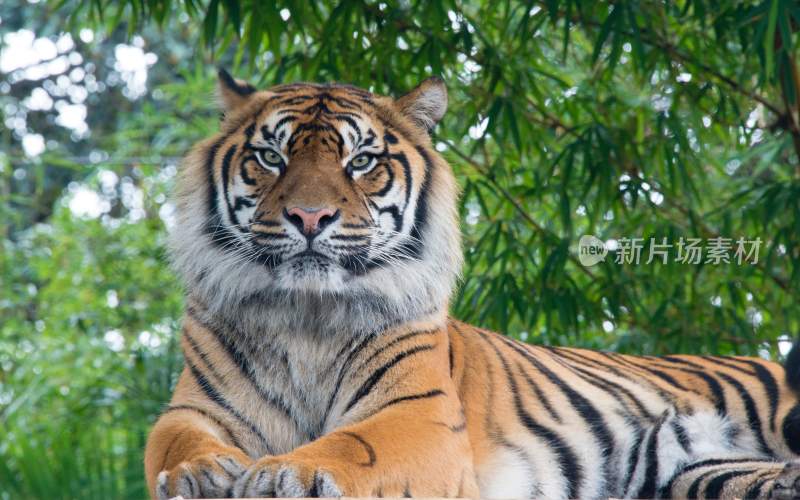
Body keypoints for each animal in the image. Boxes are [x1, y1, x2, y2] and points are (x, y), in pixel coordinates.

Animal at [144, 71, 800, 500]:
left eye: (361, 162)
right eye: (271, 158)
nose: (309, 217)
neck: (307, 315)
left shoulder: (417, 413)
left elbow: (353, 444)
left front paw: (289, 474)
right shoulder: (193, 409)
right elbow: (175, 444)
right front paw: (201, 474)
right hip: (701, 475)